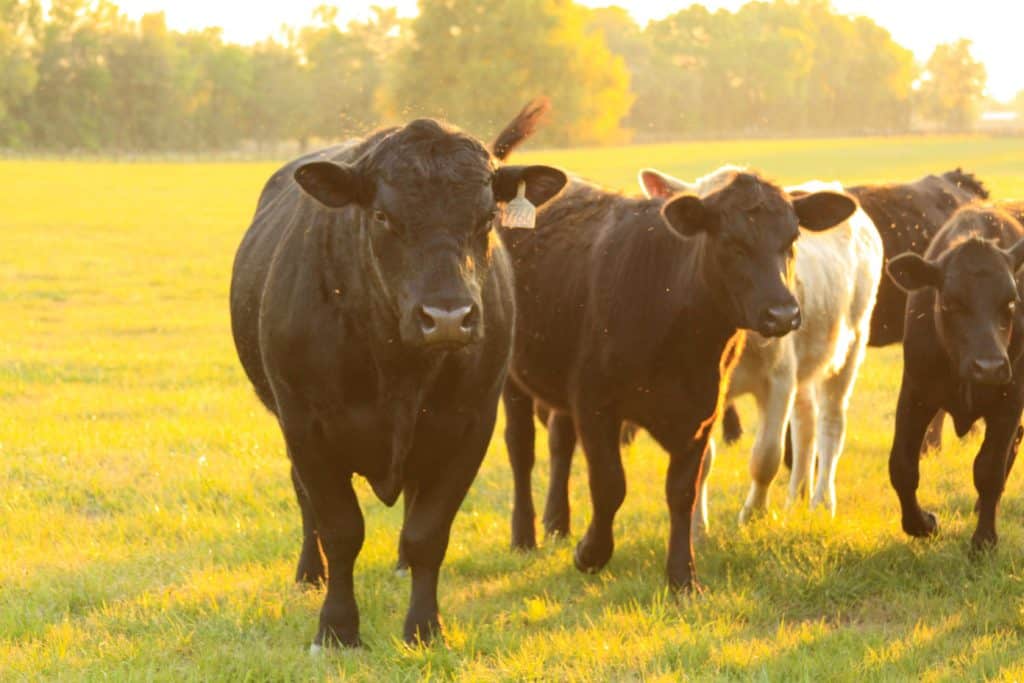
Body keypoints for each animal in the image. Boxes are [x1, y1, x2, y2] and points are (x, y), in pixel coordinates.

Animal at [229, 109, 569, 651]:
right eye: (383, 217)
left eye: (487, 218)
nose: (447, 318)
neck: (396, 369)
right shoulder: (305, 425)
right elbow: (340, 528)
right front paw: (337, 629)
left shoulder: (469, 426)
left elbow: (428, 533)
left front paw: (425, 627)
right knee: (305, 502)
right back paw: (309, 573)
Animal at [499, 167, 851, 589]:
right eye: (730, 242)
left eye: (792, 238)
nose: (782, 313)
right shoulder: (595, 404)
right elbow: (610, 485)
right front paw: (591, 553)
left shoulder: (702, 412)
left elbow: (683, 491)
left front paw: (683, 577)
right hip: (511, 379)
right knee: (521, 450)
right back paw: (524, 535)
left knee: (560, 442)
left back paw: (557, 522)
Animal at [643, 165, 884, 524]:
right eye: (725, 241)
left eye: (792, 239)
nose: (782, 315)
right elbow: (702, 459)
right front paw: (698, 525)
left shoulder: (778, 379)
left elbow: (766, 456)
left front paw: (752, 515)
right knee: (805, 423)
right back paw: (795, 498)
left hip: (851, 345)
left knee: (831, 425)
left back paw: (822, 502)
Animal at [888, 205, 1024, 552]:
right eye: (950, 302)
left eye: (1011, 301)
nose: (989, 367)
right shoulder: (915, 392)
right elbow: (902, 466)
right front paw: (922, 524)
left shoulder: (1010, 398)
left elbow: (989, 469)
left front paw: (984, 540)